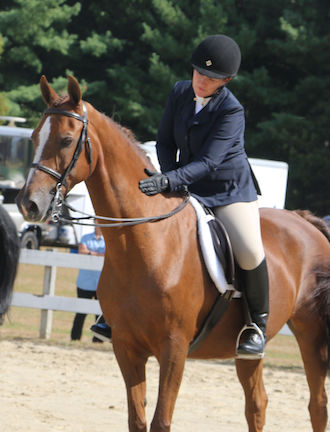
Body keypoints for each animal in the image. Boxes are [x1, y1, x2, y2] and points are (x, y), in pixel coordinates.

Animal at [17, 76, 330, 430]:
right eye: (34, 137)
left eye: (67, 140)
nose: (29, 204)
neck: (145, 244)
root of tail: (305, 220)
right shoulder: (127, 347)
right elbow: (137, 420)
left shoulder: (174, 349)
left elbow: (160, 421)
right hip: (247, 354)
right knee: (257, 404)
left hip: (311, 331)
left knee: (317, 404)